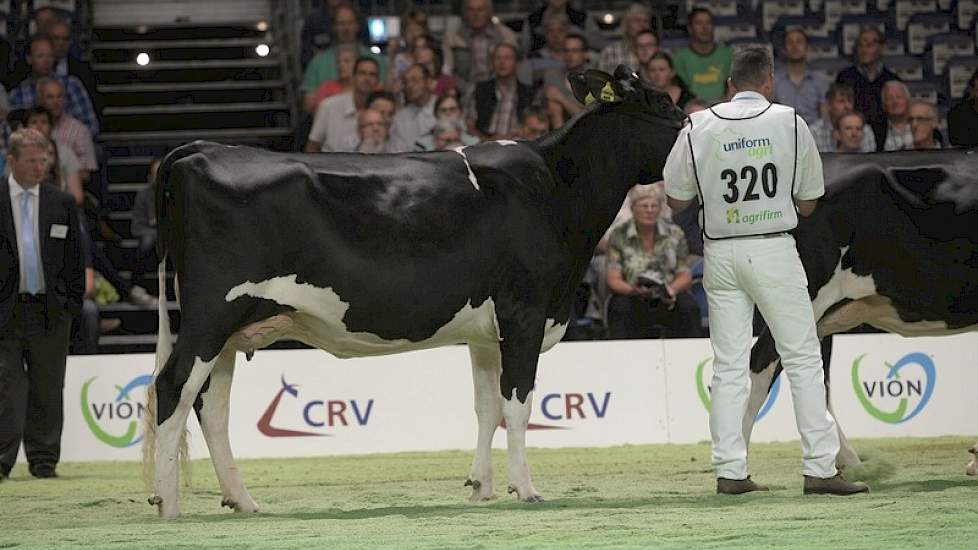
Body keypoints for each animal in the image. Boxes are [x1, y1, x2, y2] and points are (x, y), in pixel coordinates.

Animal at [141, 67, 684, 520]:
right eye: (662, 103)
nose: (692, 122)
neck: (555, 186)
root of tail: (200, 149)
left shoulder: (485, 332)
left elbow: (487, 406)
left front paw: (480, 487)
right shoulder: (525, 314)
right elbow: (518, 405)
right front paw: (525, 489)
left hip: (233, 328)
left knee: (212, 407)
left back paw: (243, 500)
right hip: (211, 314)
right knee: (172, 388)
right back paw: (169, 504)